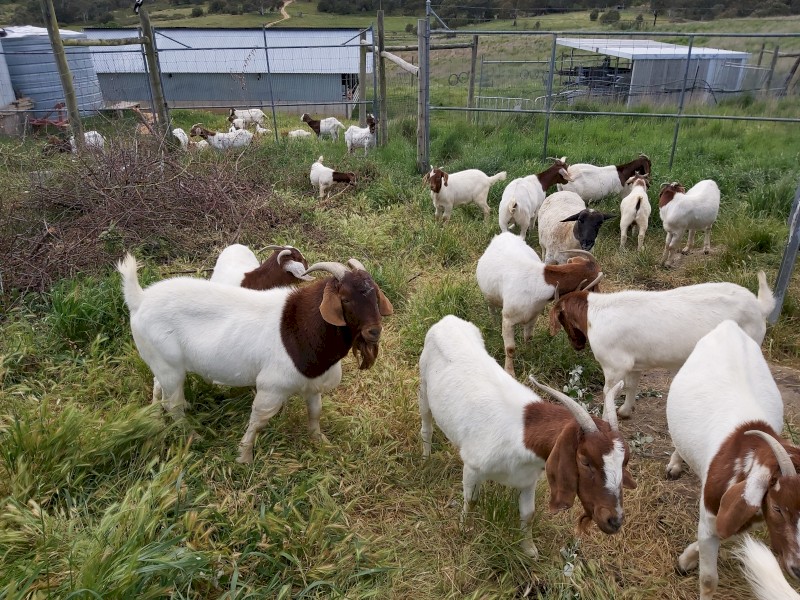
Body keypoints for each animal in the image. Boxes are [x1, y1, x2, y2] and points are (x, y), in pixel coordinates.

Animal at [118, 254, 393, 464]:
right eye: (345, 298)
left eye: (375, 295)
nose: (374, 331)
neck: (300, 327)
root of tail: (139, 299)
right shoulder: (272, 387)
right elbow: (258, 420)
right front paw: (244, 456)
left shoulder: (312, 384)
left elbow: (315, 412)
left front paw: (321, 442)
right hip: (170, 367)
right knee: (173, 405)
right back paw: (193, 437)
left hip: (161, 361)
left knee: (158, 387)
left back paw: (154, 418)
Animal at [419, 315, 636, 557]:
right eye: (585, 461)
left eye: (624, 462)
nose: (614, 521)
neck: (522, 433)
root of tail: (449, 319)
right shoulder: (473, 467)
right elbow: (471, 501)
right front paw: (465, 530)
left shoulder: (527, 480)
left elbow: (528, 514)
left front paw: (529, 550)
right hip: (424, 386)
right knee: (426, 425)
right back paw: (426, 460)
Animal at [476, 232, 602, 374]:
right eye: (596, 283)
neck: (536, 283)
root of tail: (504, 234)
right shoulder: (508, 320)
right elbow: (510, 348)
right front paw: (510, 372)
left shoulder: (533, 316)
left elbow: (528, 337)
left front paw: (529, 355)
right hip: (489, 296)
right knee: (491, 308)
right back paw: (494, 325)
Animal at [550, 272, 775, 419]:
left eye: (562, 318)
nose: (577, 345)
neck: (594, 313)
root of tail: (759, 306)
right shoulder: (634, 363)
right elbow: (632, 385)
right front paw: (625, 411)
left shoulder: (615, 366)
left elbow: (609, 393)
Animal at [666, 320, 800, 599]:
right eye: (778, 508)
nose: (798, 568)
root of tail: (729, 326)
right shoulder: (709, 511)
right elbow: (708, 579)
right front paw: (686, 564)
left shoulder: (741, 514)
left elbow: (722, 530)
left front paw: (685, 559)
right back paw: (674, 464)